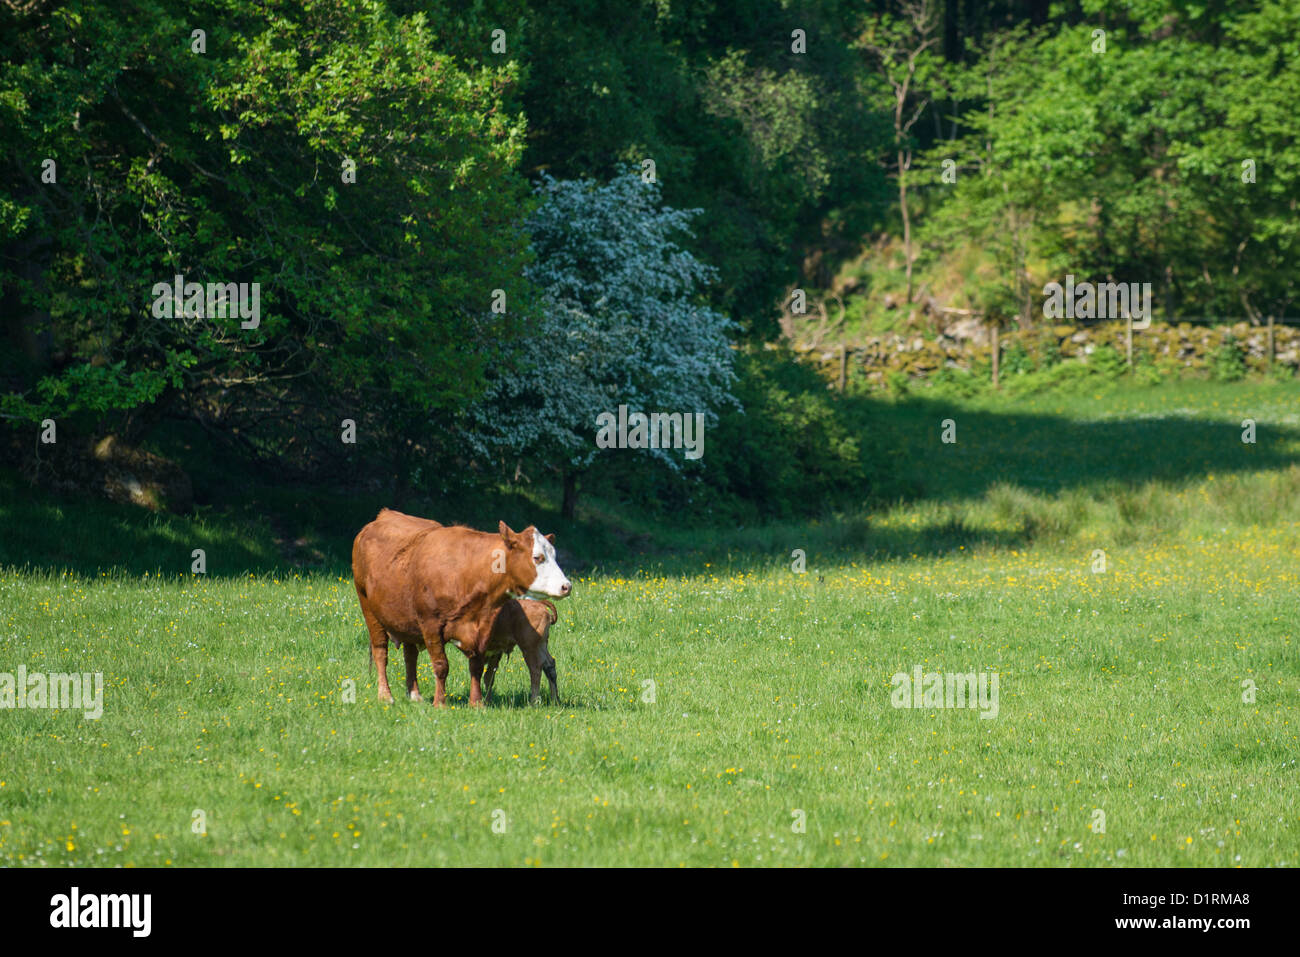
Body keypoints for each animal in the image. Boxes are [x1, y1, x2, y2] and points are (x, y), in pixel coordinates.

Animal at [351, 509, 569, 702]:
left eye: (554, 555)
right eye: (537, 557)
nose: (566, 586)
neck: (467, 572)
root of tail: (382, 517)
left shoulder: (483, 628)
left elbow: (477, 667)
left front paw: (476, 702)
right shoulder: (430, 625)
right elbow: (441, 666)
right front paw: (440, 702)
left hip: (407, 622)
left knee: (410, 655)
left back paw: (415, 695)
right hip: (369, 609)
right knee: (381, 652)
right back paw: (385, 696)